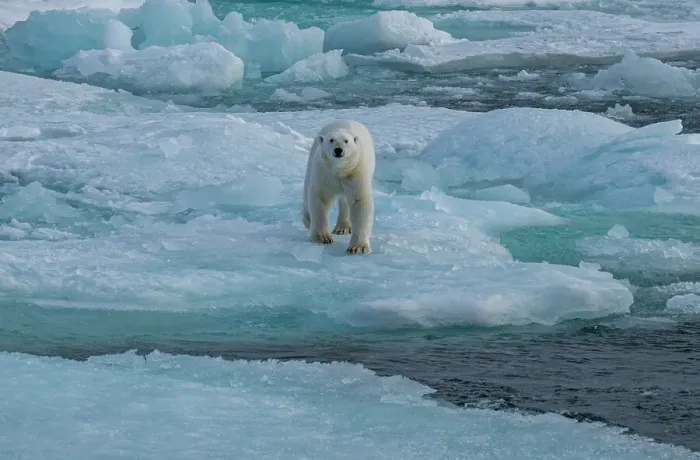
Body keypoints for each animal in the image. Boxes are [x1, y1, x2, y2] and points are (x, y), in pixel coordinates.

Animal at [302, 119, 376, 254]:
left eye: (346, 141)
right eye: (331, 140)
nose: (338, 150)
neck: (339, 170)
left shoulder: (356, 172)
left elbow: (359, 202)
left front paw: (358, 247)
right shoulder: (324, 172)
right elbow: (321, 198)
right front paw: (322, 237)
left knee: (344, 200)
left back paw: (342, 228)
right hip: (313, 158)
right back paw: (308, 219)